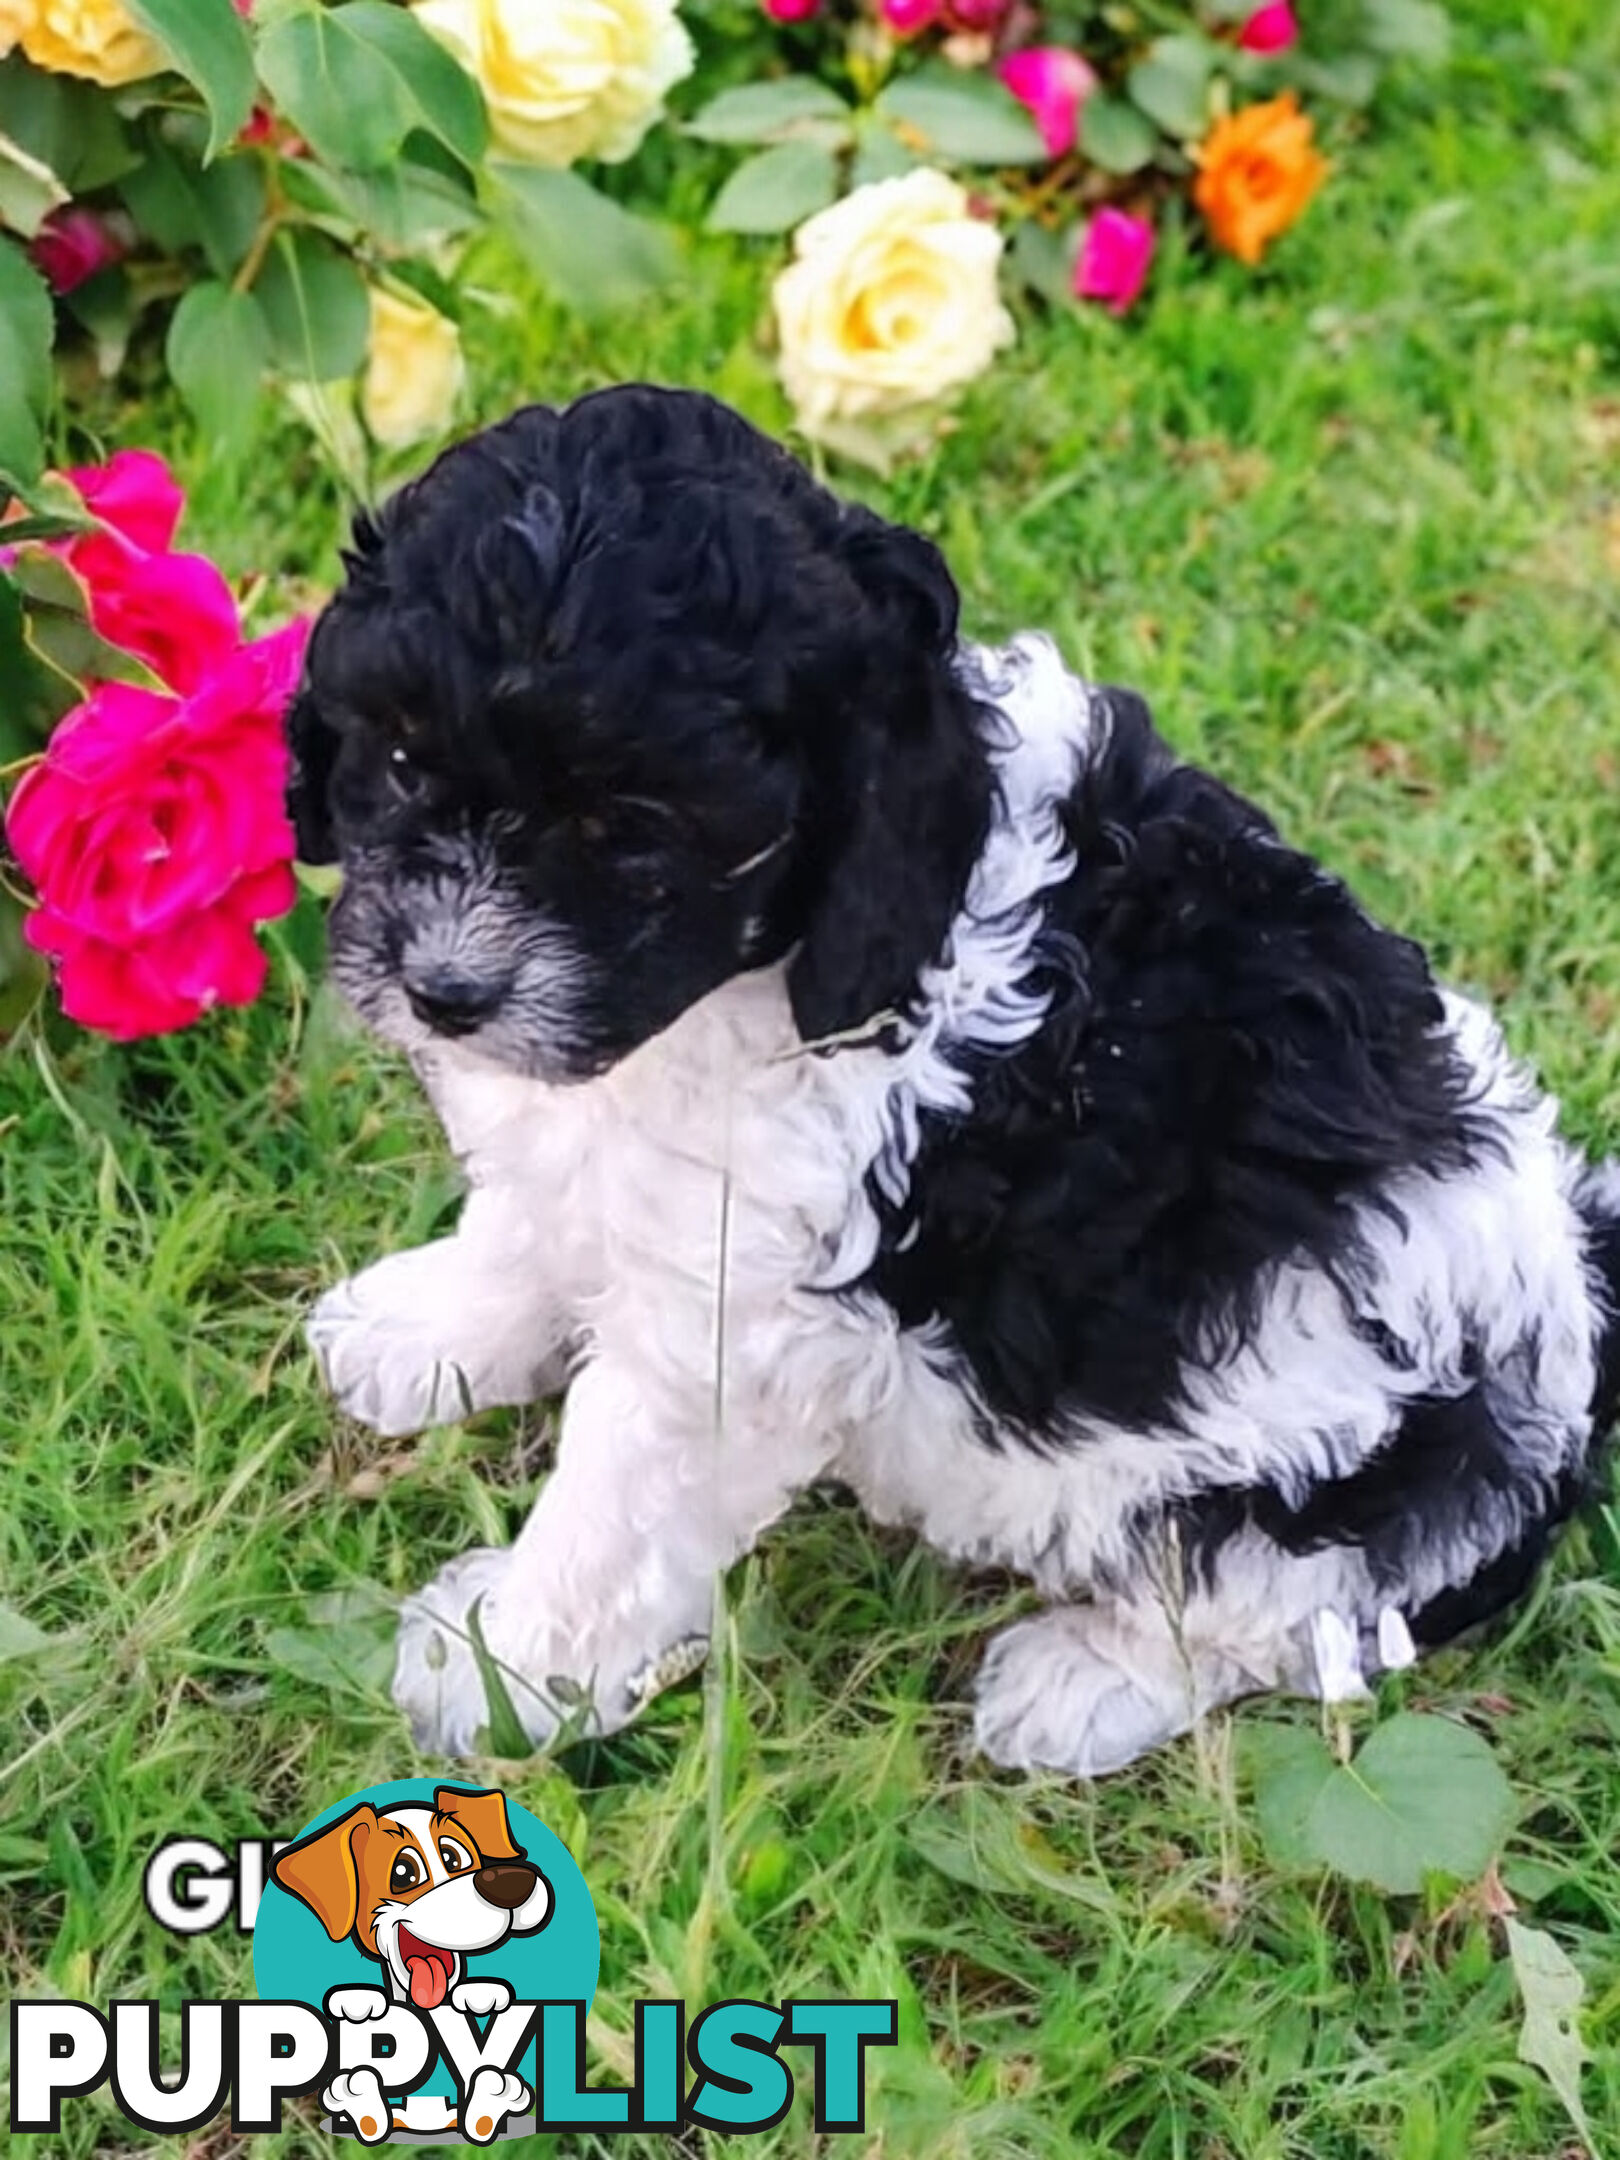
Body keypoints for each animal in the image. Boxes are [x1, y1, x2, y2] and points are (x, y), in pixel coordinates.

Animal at [291, 388, 1620, 1771]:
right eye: (398, 761)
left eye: (637, 830)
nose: (447, 990)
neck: (782, 964)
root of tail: (1576, 1297)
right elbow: (534, 1217)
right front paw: (430, 1330)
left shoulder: (736, 1329)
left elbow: (613, 1508)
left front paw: (500, 1669)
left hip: (1320, 1501)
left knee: (1269, 1621)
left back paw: (1079, 1683)